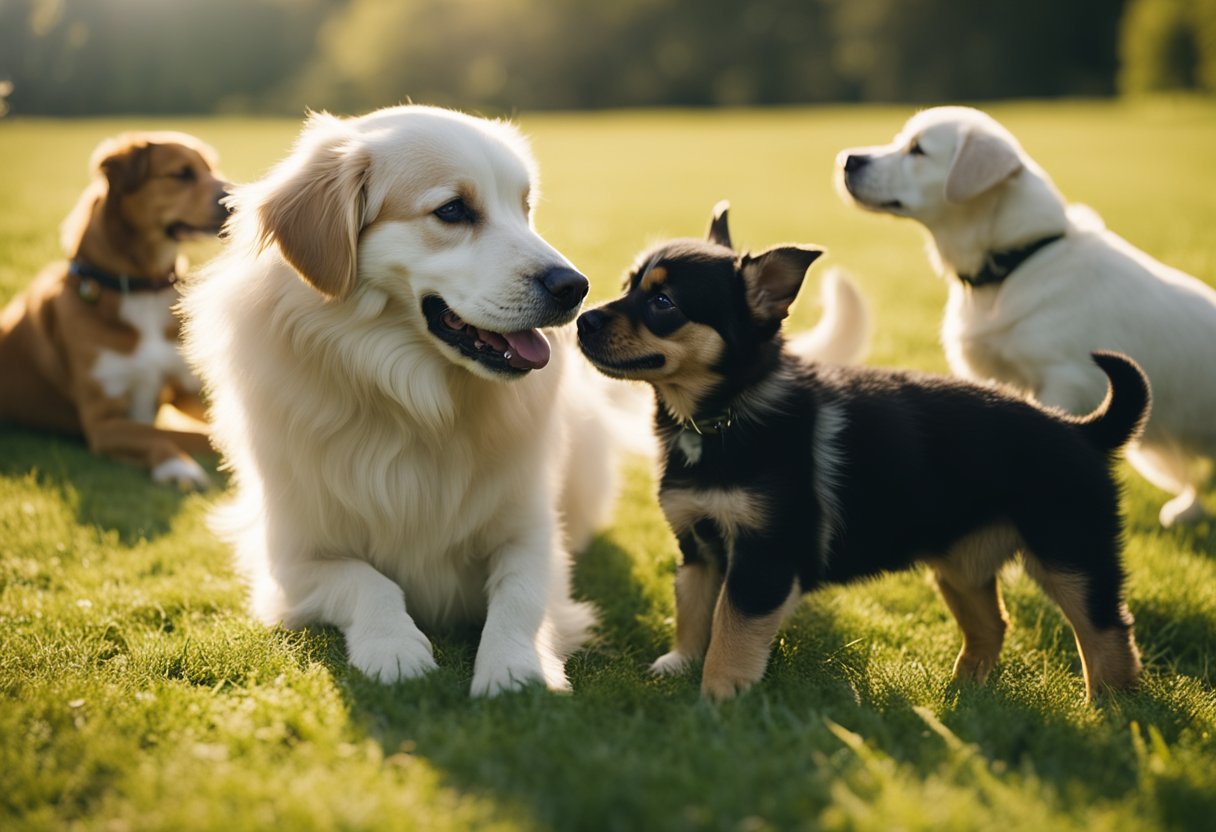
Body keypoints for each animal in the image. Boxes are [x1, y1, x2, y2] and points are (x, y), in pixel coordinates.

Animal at [0, 133, 227, 491]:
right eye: (181, 174)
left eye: (212, 169)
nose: (237, 199)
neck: (141, 289)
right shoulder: (103, 423)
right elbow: (160, 433)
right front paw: (178, 467)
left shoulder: (187, 391)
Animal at [578, 201, 1147, 700]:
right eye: (629, 286)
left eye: (663, 304)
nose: (583, 320)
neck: (718, 417)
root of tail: (1081, 431)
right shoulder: (698, 547)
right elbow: (693, 609)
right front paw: (680, 664)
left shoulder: (763, 556)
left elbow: (732, 627)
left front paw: (719, 696)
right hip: (961, 561)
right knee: (993, 624)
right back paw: (964, 695)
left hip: (1072, 551)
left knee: (1107, 631)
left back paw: (1109, 711)